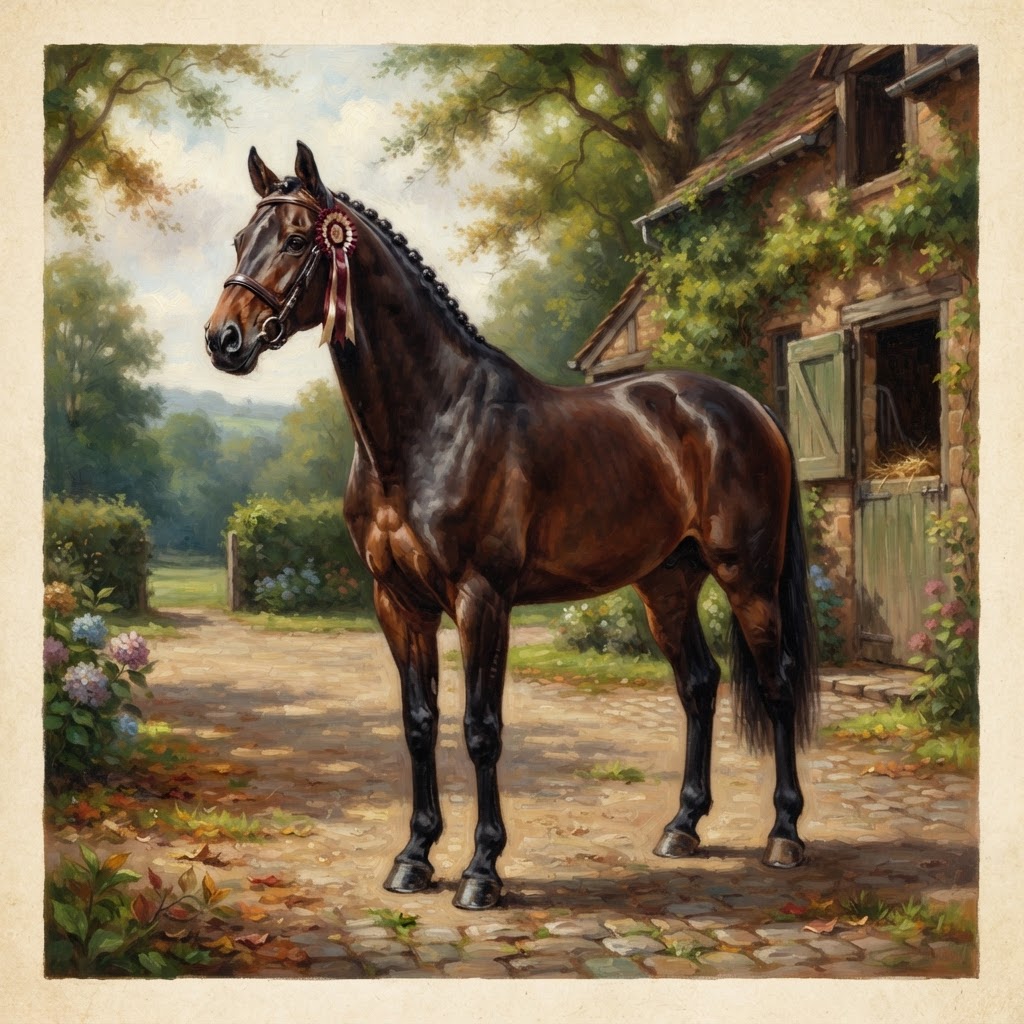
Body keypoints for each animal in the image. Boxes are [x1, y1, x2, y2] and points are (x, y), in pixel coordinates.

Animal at [204, 141, 818, 911]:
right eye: (237, 240)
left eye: (294, 239)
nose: (223, 339)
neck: (431, 425)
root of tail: (750, 407)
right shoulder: (397, 602)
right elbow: (419, 724)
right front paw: (413, 858)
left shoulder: (481, 599)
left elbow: (481, 729)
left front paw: (481, 871)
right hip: (667, 584)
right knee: (699, 685)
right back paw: (682, 828)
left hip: (749, 579)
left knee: (775, 684)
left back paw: (785, 835)